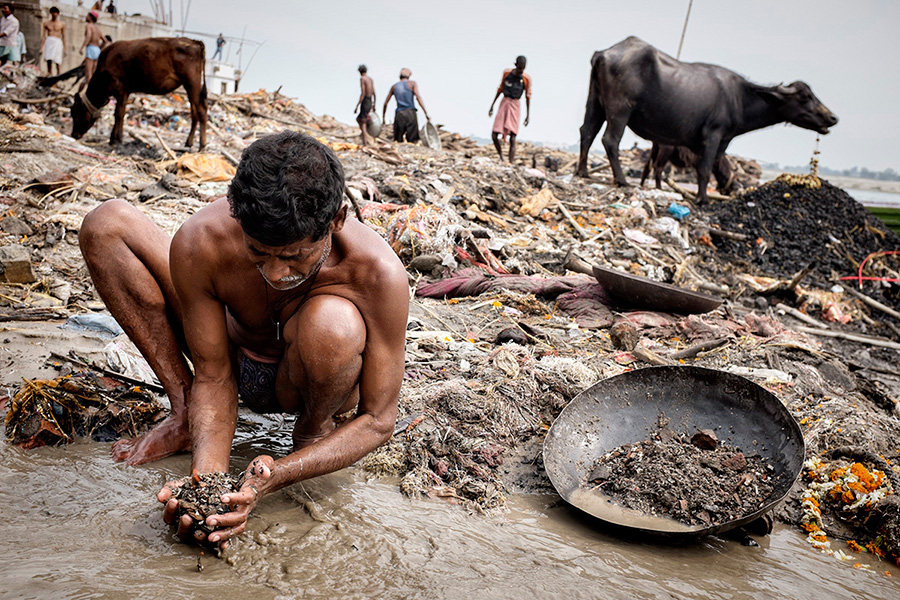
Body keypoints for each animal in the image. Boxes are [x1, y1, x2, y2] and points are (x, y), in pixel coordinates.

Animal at [70, 37, 207, 151]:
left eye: (75, 113)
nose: (73, 135)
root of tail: (195, 41)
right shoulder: (125, 91)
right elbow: (121, 113)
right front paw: (114, 138)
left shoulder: (121, 89)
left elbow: (118, 114)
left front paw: (116, 139)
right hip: (190, 86)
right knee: (194, 112)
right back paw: (188, 143)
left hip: (192, 82)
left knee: (202, 110)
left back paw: (202, 146)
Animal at [576, 38, 836, 206]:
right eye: (805, 97)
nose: (832, 117)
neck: (740, 98)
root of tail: (603, 54)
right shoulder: (713, 135)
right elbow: (704, 169)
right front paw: (702, 199)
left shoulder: (715, 143)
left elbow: (712, 168)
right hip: (620, 109)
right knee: (610, 140)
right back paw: (621, 180)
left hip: (595, 101)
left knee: (586, 132)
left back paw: (583, 172)